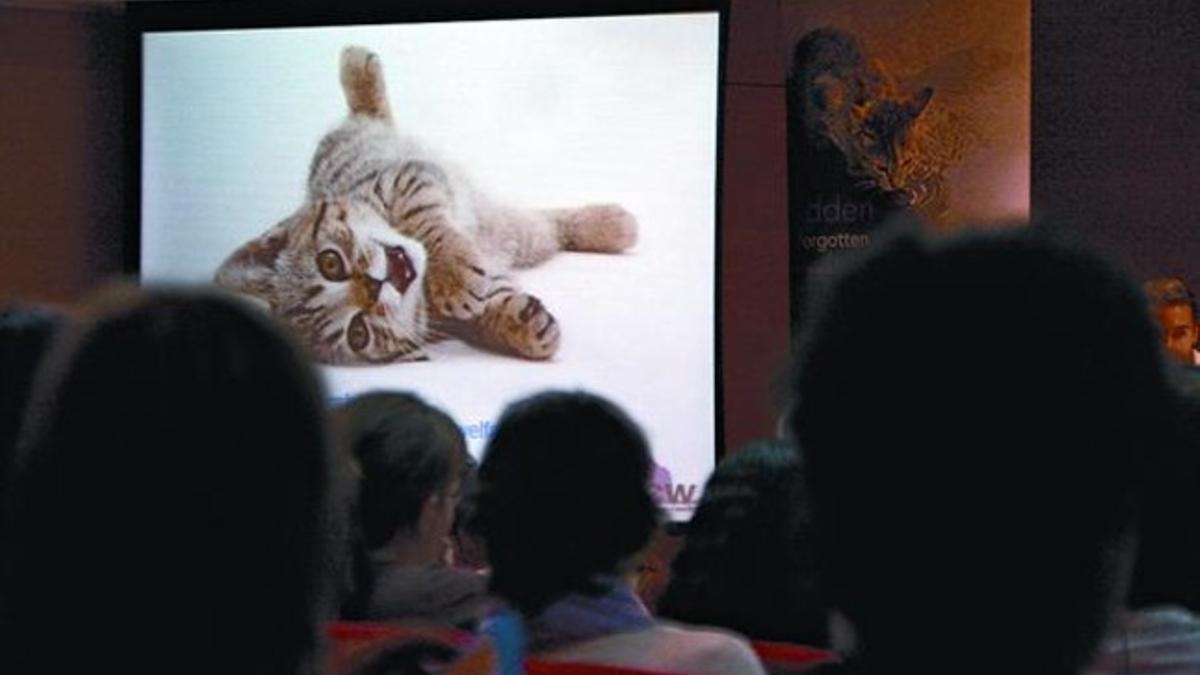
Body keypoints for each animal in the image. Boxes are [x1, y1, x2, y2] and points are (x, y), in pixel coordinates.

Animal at [216, 45, 638, 362]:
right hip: (520, 235)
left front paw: (452, 272)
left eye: (330, 263)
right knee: (549, 227)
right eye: (358, 333)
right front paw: (517, 324)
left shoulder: (405, 179)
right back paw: (614, 226)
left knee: (369, 112)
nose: (374, 286)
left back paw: (357, 64)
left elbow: (428, 225)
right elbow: (485, 309)